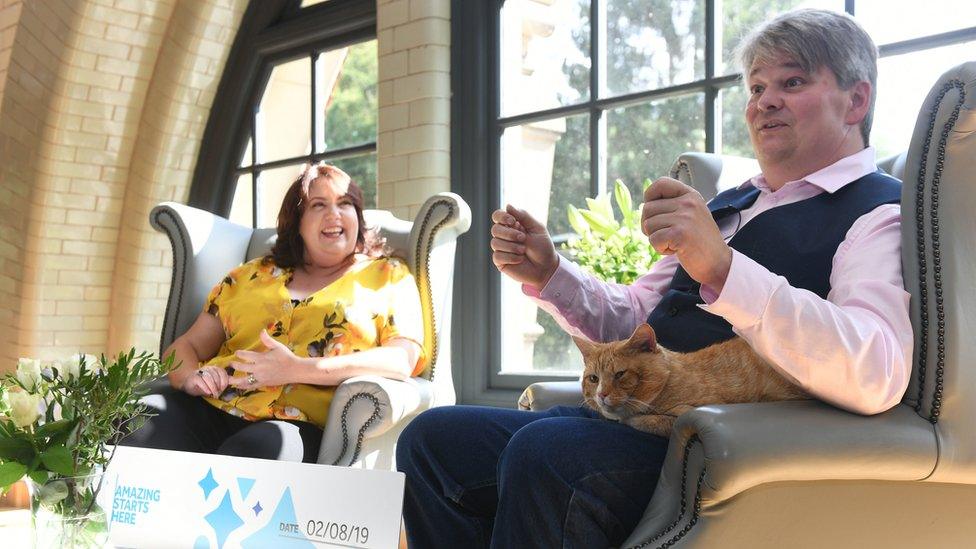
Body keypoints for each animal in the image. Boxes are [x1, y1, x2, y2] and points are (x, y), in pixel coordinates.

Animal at [576, 322, 804, 436]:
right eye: (594, 379)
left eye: (620, 374)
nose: (601, 394)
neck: (669, 381)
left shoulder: (688, 412)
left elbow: (650, 420)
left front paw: (631, 419)